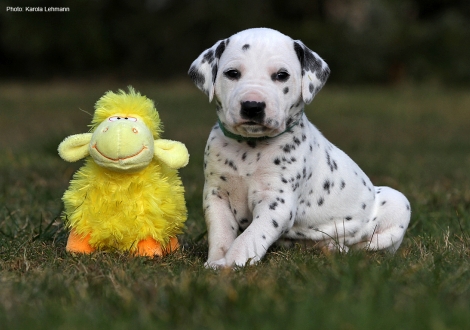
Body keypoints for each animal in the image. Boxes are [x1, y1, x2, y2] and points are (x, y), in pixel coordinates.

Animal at [189, 27, 410, 266]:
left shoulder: (277, 202)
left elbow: (250, 236)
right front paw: (216, 261)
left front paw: (232, 263)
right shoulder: (216, 195)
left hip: (398, 202)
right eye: (232, 73)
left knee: (367, 245)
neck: (249, 147)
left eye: (281, 75)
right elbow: (221, 232)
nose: (252, 106)